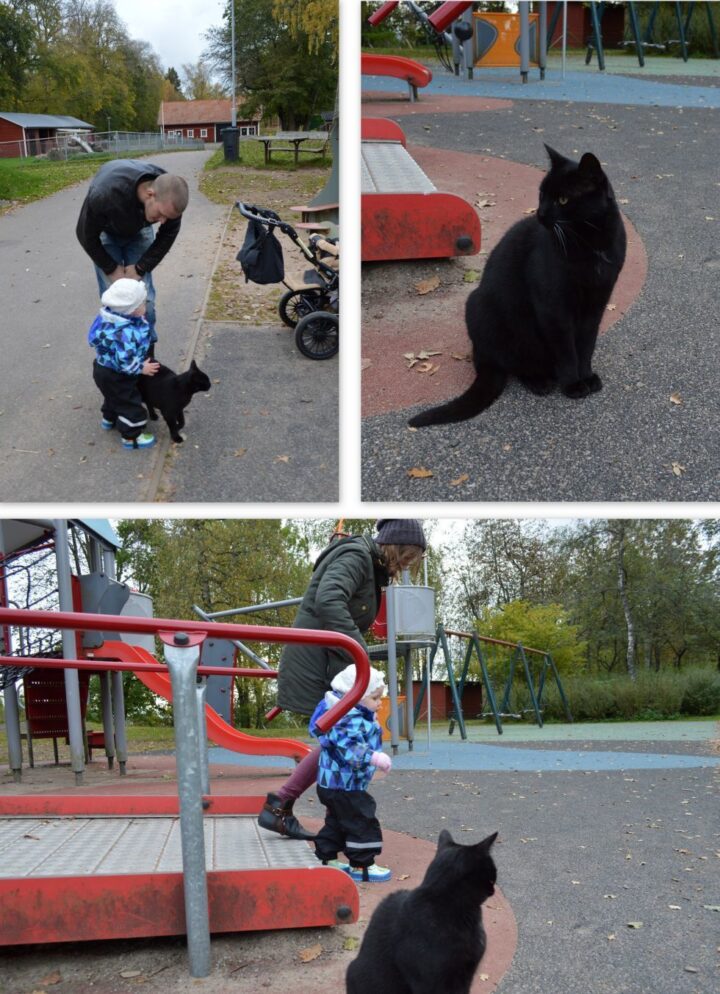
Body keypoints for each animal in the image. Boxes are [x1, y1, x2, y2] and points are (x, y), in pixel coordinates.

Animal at [408, 143, 628, 426]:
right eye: (542, 194)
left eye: (563, 200)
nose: (540, 214)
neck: (592, 244)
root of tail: (482, 357)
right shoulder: (554, 308)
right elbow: (567, 350)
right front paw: (573, 384)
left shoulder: (596, 303)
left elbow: (586, 345)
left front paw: (587, 376)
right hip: (484, 309)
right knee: (517, 363)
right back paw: (540, 382)